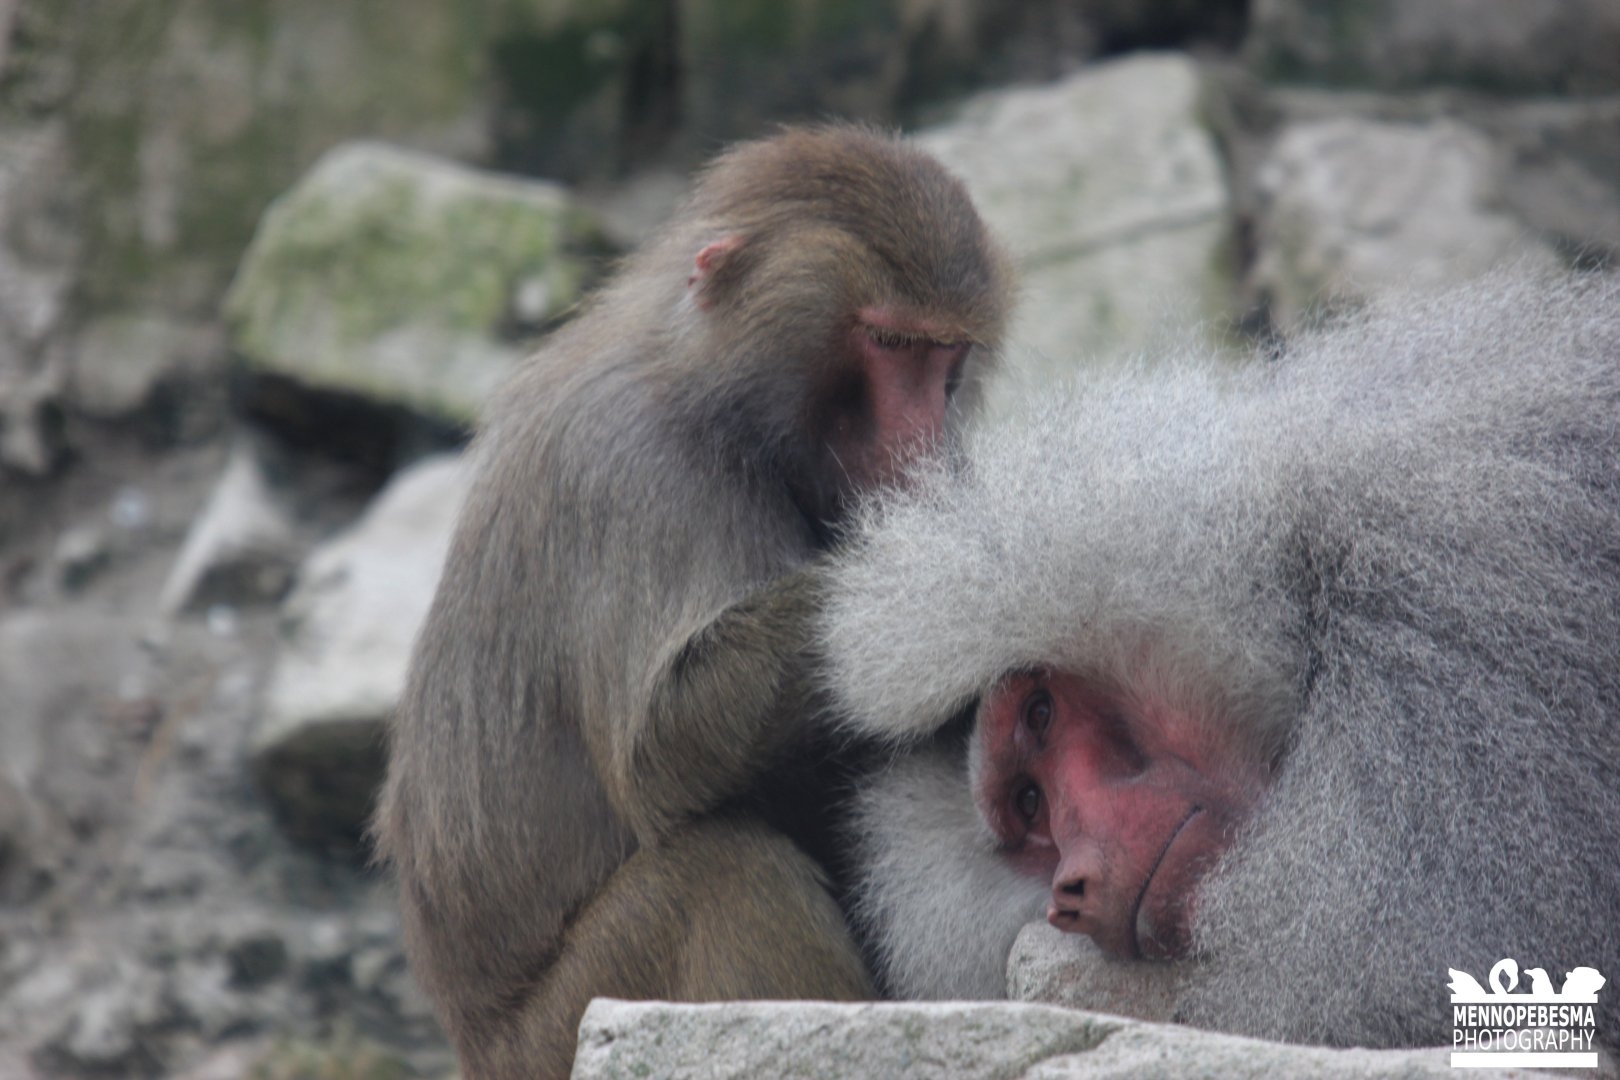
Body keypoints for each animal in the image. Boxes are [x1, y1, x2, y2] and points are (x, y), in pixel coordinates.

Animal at [372, 124, 1014, 1080]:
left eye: (946, 354)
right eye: (890, 341)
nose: (926, 446)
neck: (720, 400)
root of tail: (474, 1041)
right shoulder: (634, 467)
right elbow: (665, 747)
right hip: (567, 1022)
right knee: (731, 880)